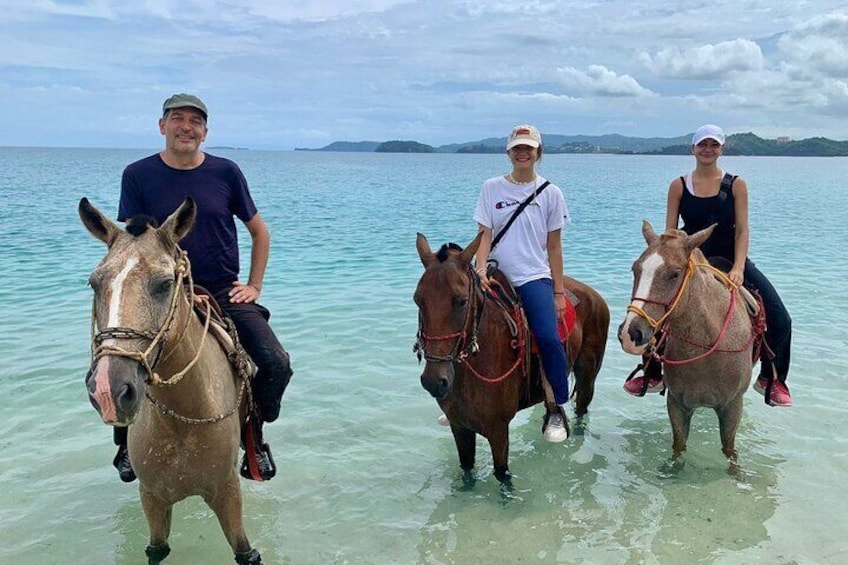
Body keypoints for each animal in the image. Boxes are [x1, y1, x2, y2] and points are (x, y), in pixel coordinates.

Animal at [80, 198, 260, 564]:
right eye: (94, 284)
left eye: (164, 284)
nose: (108, 389)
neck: (181, 421)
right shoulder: (152, 497)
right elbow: (157, 550)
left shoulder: (227, 492)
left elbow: (244, 551)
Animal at [412, 231, 608, 482]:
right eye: (418, 300)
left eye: (462, 301)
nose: (434, 381)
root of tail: (594, 295)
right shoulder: (460, 428)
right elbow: (467, 474)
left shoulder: (498, 430)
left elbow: (502, 476)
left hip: (588, 374)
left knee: (582, 408)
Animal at [616, 220, 760, 462]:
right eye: (635, 269)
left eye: (674, 274)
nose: (629, 334)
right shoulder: (677, 405)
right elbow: (678, 447)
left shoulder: (733, 407)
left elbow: (729, 450)